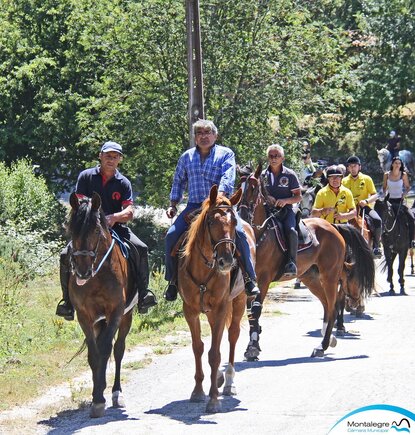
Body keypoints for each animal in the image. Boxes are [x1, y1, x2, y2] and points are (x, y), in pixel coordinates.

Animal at [68, 193, 136, 418]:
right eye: (71, 228)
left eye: (96, 230)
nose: (82, 271)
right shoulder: (84, 316)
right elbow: (94, 354)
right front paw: (96, 395)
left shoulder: (116, 312)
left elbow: (107, 349)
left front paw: (99, 399)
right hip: (99, 320)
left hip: (126, 316)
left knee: (119, 349)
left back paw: (115, 393)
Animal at [177, 186, 249, 414]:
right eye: (211, 222)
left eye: (234, 222)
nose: (226, 261)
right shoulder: (190, 310)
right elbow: (198, 348)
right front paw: (198, 391)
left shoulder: (220, 308)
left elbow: (215, 354)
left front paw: (214, 400)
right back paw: (217, 378)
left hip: (239, 301)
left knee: (232, 336)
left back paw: (228, 382)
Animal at [239, 165, 376, 360]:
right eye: (238, 187)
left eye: (252, 188)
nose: (242, 215)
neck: (258, 236)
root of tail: (334, 227)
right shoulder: (249, 281)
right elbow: (250, 313)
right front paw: (253, 345)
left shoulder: (264, 279)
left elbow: (256, 311)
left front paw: (252, 348)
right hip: (310, 278)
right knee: (327, 304)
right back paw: (328, 339)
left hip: (329, 277)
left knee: (333, 306)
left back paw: (322, 346)